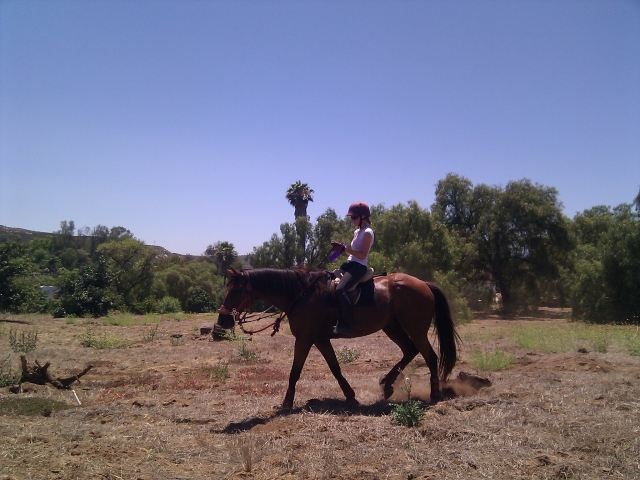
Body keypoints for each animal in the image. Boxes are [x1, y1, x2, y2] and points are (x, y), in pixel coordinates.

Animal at [217, 268, 460, 409]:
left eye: (236, 291)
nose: (223, 321)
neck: (301, 295)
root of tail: (424, 284)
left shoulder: (304, 339)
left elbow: (295, 371)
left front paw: (286, 403)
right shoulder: (321, 340)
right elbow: (335, 368)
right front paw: (350, 395)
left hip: (415, 329)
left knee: (430, 356)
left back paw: (434, 393)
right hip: (392, 328)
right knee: (410, 351)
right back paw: (388, 385)